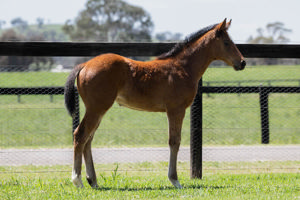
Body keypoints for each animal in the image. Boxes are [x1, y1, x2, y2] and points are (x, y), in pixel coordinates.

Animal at [63, 19, 246, 189]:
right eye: (227, 42)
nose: (242, 62)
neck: (183, 68)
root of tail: (85, 65)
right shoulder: (176, 110)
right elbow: (174, 141)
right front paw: (175, 180)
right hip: (96, 108)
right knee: (80, 135)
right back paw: (77, 180)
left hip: (99, 110)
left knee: (88, 139)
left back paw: (93, 181)